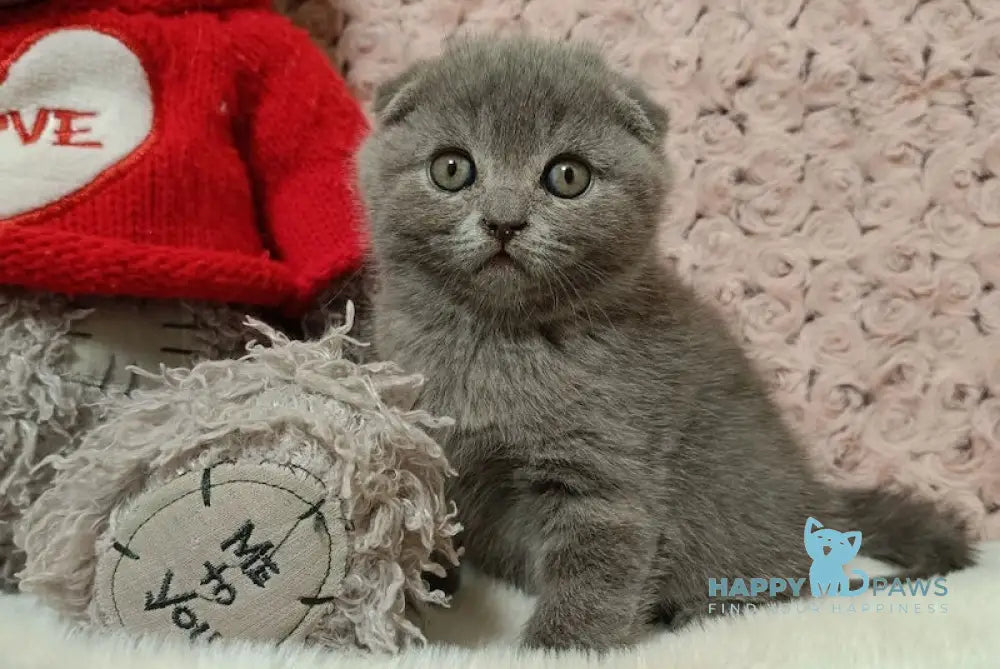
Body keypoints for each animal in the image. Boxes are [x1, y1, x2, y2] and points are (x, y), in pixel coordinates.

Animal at [354, 39, 976, 648]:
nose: (504, 221)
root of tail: (823, 499)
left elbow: (593, 575)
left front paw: (557, 648)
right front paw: (420, 593)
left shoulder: (606, 471)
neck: (496, 338)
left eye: (567, 176)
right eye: (451, 168)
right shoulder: (432, 453)